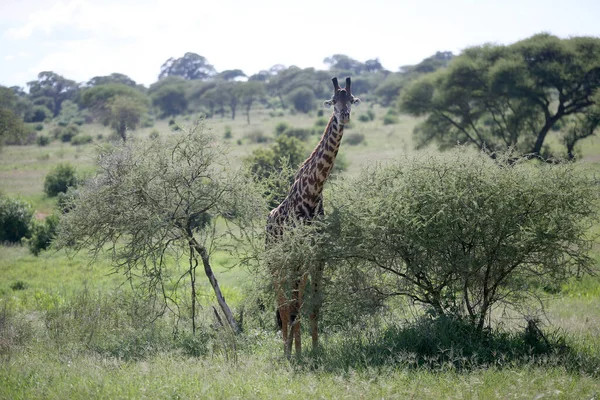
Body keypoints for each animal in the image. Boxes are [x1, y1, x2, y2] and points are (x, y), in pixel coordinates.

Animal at [264, 76, 358, 358]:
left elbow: (313, 305)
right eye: (334, 101)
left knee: (294, 301)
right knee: (283, 304)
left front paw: (314, 351)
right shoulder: (296, 254)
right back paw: (287, 351)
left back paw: (296, 349)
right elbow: (292, 307)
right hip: (276, 261)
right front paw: (291, 355)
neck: (314, 191)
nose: (344, 115)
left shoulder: (317, 254)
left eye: (351, 100)